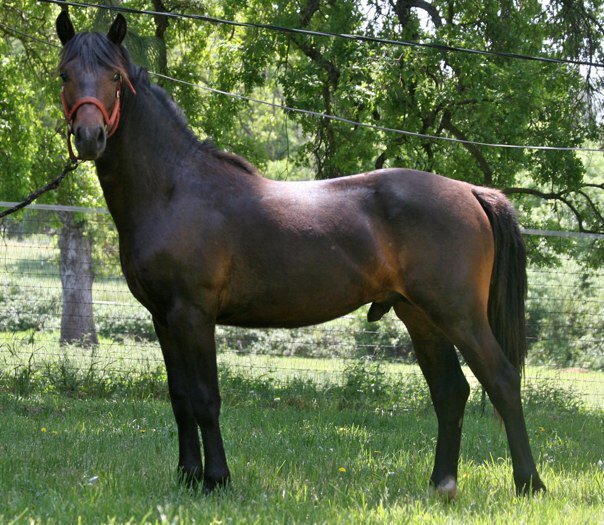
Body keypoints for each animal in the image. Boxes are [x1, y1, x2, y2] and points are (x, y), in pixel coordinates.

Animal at [55, 11, 548, 496]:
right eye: (64, 74)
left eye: (114, 76)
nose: (89, 137)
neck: (175, 189)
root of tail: (470, 190)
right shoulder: (164, 317)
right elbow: (179, 399)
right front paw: (188, 476)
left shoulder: (193, 314)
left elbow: (205, 398)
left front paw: (216, 479)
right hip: (420, 315)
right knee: (450, 391)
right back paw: (441, 483)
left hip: (459, 314)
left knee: (502, 380)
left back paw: (530, 483)